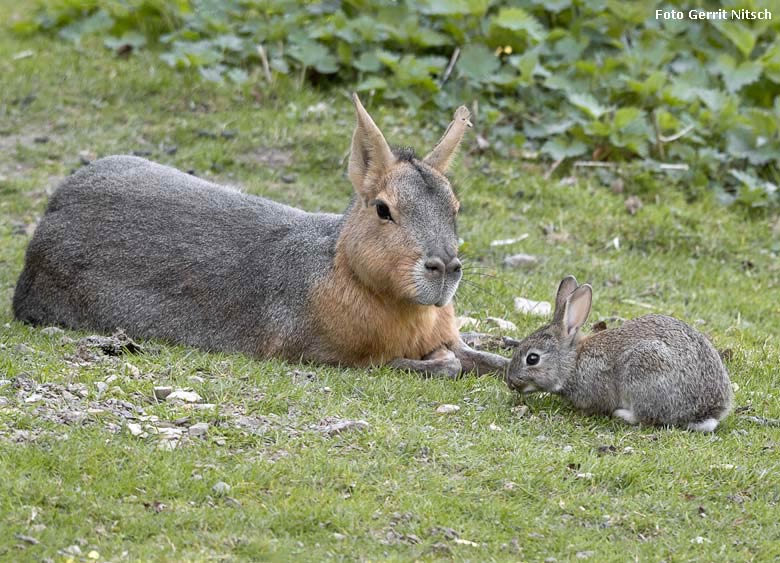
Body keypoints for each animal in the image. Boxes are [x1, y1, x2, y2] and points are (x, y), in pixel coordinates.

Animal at [13, 96, 512, 378]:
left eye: (455, 207)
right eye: (384, 210)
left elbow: (481, 358)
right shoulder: (327, 355)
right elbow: (442, 365)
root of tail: (51, 214)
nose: (445, 267)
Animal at [506, 276, 732, 432]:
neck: (573, 362)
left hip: (644, 374)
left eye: (532, 358)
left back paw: (622, 414)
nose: (510, 382)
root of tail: (703, 412)